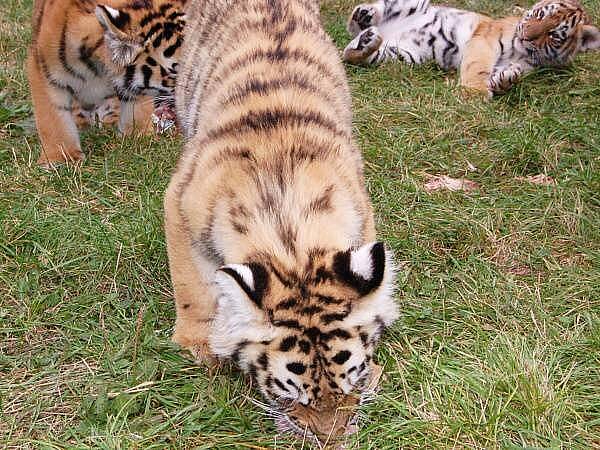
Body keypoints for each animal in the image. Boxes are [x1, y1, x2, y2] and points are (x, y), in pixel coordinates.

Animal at [26, 0, 185, 167]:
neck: (99, 65)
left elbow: (136, 109)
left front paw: (138, 139)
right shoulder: (42, 68)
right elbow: (52, 118)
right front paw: (61, 158)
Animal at [164, 0, 398, 444]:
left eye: (351, 381)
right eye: (290, 393)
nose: (330, 440)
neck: (289, 236)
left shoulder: (361, 208)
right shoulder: (179, 205)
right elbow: (192, 287)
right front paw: (197, 344)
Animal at [342, 0, 600, 96]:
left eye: (553, 34)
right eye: (538, 15)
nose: (526, 35)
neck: (521, 51)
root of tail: (386, 31)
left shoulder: (526, 65)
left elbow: (505, 73)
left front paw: (506, 79)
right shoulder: (484, 40)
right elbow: (477, 67)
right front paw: (475, 94)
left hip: (403, 55)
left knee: (352, 54)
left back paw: (366, 41)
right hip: (412, 4)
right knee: (359, 19)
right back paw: (364, 15)